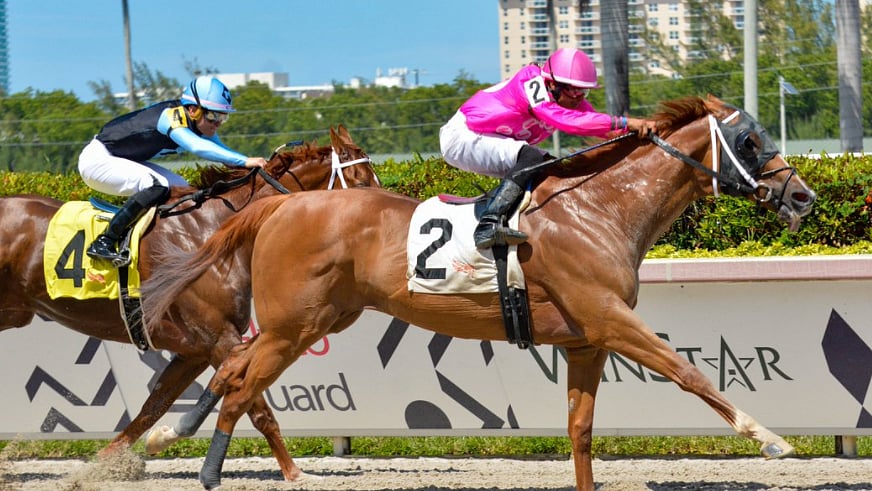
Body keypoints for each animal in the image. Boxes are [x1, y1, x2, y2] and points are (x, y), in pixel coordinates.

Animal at [0, 125, 379, 481]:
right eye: (362, 182)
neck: (213, 232)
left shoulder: (194, 350)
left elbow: (152, 408)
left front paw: (107, 463)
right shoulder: (219, 338)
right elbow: (256, 406)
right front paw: (293, 471)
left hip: (14, 312)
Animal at [141, 96, 816, 490]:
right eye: (750, 141)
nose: (803, 196)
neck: (601, 209)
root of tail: (280, 205)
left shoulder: (586, 341)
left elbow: (580, 430)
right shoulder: (609, 318)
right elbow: (689, 372)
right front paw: (772, 439)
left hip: (322, 319)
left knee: (232, 371)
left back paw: (173, 440)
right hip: (292, 325)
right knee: (240, 381)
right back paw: (205, 464)